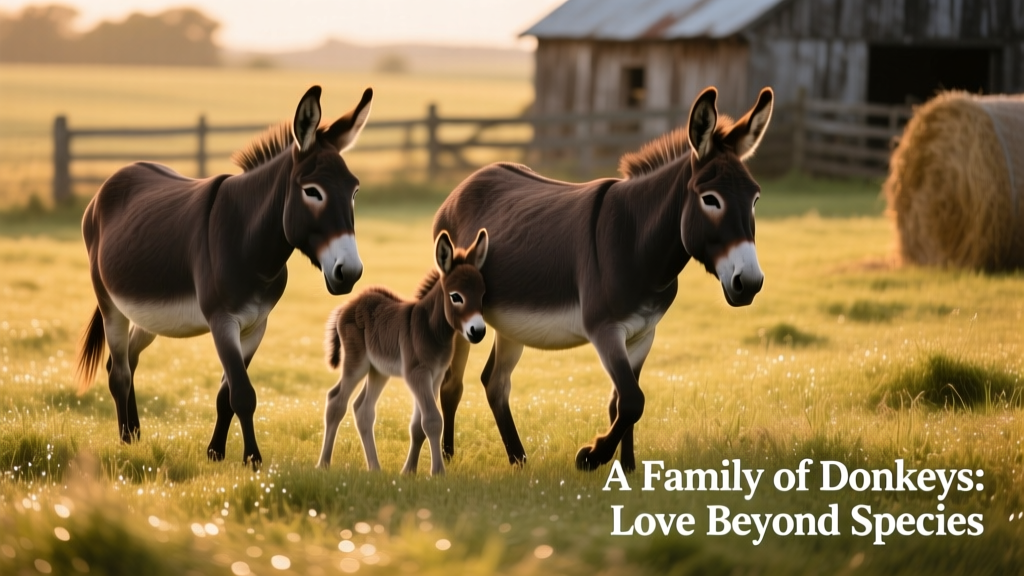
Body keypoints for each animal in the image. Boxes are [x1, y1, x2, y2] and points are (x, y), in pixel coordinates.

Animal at [75, 85, 373, 468]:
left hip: (145, 314)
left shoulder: (256, 325)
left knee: (126, 358)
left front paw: (215, 452)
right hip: (109, 301)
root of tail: (113, 179)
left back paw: (136, 431)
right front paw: (253, 460)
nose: (349, 273)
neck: (251, 245)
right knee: (118, 373)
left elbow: (225, 394)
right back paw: (126, 439)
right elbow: (243, 393)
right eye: (312, 191)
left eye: (354, 191)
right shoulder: (222, 321)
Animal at [317, 229, 488, 476]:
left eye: (483, 295)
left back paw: (375, 468)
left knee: (363, 410)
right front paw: (438, 472)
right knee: (336, 401)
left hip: (378, 370)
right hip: (356, 364)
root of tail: (349, 304)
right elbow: (432, 420)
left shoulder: (435, 376)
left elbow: (419, 425)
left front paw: (409, 471)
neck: (431, 328)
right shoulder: (417, 374)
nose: (478, 331)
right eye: (456, 296)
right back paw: (323, 464)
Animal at [432, 86, 773, 472]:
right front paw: (591, 456)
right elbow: (633, 401)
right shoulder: (605, 330)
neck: (639, 246)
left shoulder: (644, 333)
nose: (750, 283)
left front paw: (626, 468)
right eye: (710, 199)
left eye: (755, 198)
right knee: (452, 384)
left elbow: (621, 402)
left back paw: (518, 460)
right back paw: (448, 457)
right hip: (462, 314)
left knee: (495, 382)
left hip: (509, 324)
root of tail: (468, 182)